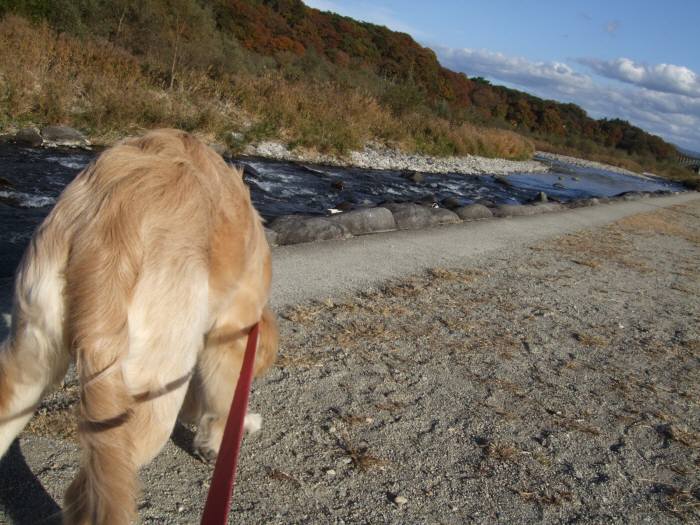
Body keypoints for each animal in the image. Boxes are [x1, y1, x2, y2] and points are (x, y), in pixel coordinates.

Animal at [0, 129, 278, 520]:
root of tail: (109, 231)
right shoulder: (229, 340)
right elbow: (223, 401)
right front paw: (231, 431)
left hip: (32, 353)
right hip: (153, 391)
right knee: (84, 494)